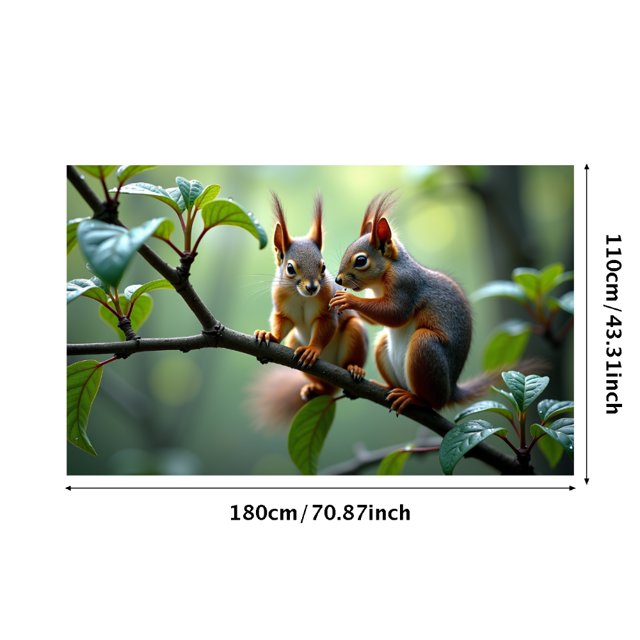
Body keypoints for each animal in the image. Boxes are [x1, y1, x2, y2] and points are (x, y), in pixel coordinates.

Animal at [247, 191, 368, 429]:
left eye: (323, 267)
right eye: (290, 268)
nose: (312, 288)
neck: (300, 296)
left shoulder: (327, 310)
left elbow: (325, 327)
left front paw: (312, 349)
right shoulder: (282, 309)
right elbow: (281, 322)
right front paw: (269, 335)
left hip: (355, 334)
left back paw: (355, 369)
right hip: (294, 341)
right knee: (325, 388)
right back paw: (315, 390)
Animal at [328, 191, 511, 416]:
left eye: (361, 260)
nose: (338, 280)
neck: (381, 281)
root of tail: (450, 391)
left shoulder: (406, 284)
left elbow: (395, 313)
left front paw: (348, 299)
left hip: (425, 347)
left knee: (432, 402)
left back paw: (414, 399)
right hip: (384, 348)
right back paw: (384, 386)